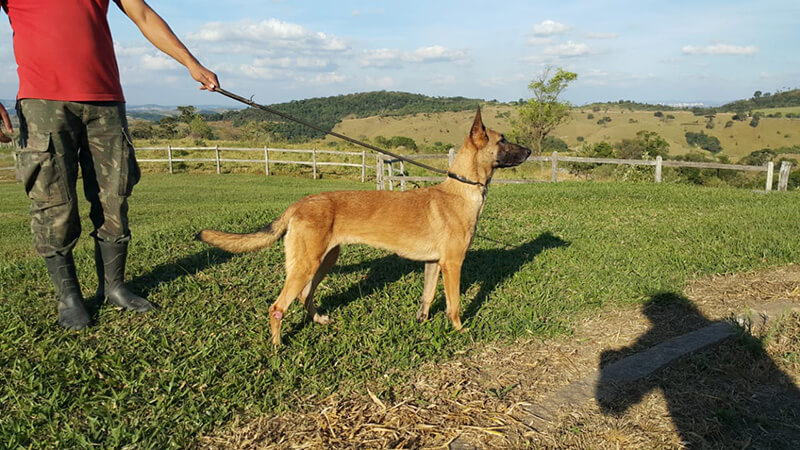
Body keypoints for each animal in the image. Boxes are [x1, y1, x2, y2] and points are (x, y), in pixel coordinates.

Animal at [197, 107, 532, 346]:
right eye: (502, 140)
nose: (529, 151)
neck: (460, 190)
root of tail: (299, 203)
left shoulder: (433, 264)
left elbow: (426, 297)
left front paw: (421, 322)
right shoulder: (453, 264)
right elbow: (455, 304)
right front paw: (459, 330)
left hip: (324, 260)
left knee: (305, 295)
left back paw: (319, 321)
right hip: (306, 264)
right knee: (277, 306)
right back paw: (278, 346)